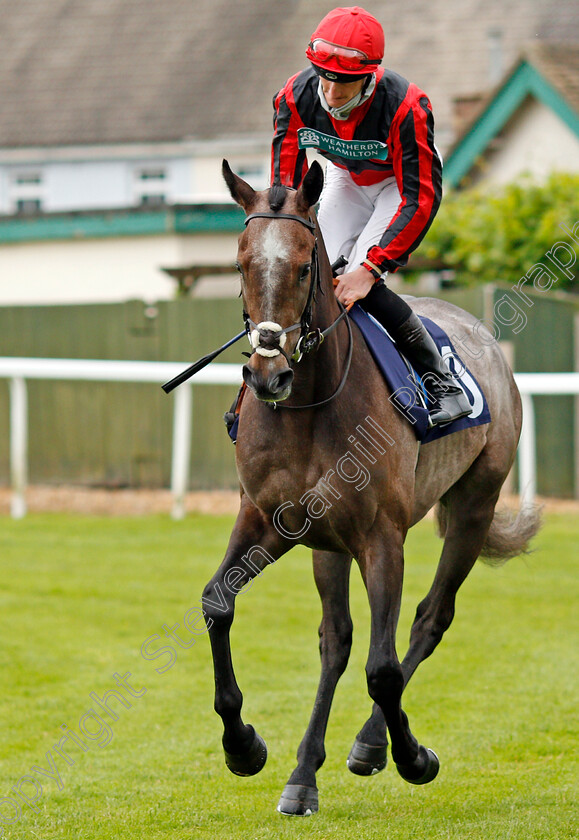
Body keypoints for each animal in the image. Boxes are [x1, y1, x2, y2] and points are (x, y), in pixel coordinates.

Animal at [201, 158, 544, 812]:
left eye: (303, 267)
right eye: (240, 263)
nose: (268, 375)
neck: (306, 406)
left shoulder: (384, 537)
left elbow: (383, 669)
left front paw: (412, 757)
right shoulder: (267, 520)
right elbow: (217, 603)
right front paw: (243, 746)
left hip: (473, 507)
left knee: (430, 619)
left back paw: (370, 743)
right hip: (328, 544)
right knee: (336, 639)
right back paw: (303, 773)